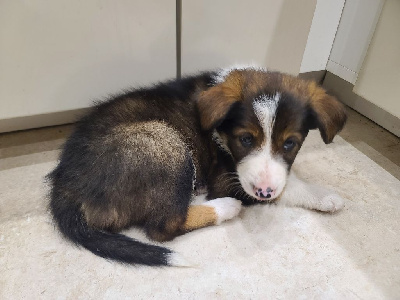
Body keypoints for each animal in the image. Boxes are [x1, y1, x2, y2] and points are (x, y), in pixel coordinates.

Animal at [47, 66, 346, 268]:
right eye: (245, 139)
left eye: (290, 144)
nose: (264, 191)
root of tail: (64, 188)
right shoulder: (227, 180)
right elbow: (287, 188)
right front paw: (325, 196)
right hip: (163, 141)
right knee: (164, 227)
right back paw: (223, 208)